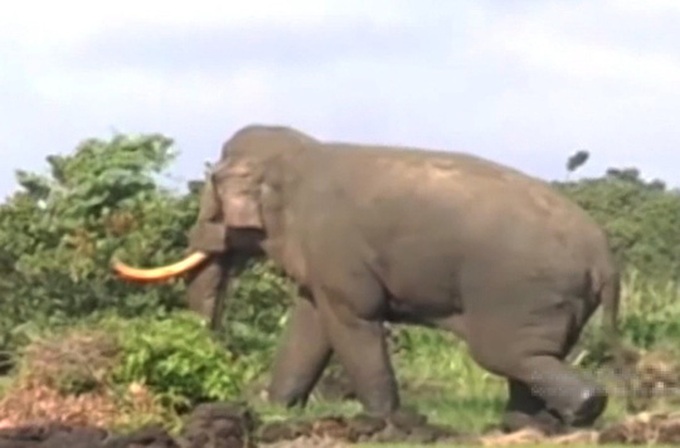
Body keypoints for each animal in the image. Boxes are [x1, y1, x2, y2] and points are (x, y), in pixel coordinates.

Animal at [112, 124, 621, 434]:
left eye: (212, 195)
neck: (301, 154)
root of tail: (604, 257)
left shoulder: (336, 248)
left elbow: (351, 319)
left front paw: (383, 421)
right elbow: (310, 323)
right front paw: (278, 409)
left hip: (523, 292)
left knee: (506, 355)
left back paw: (581, 410)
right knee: (529, 358)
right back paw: (522, 427)